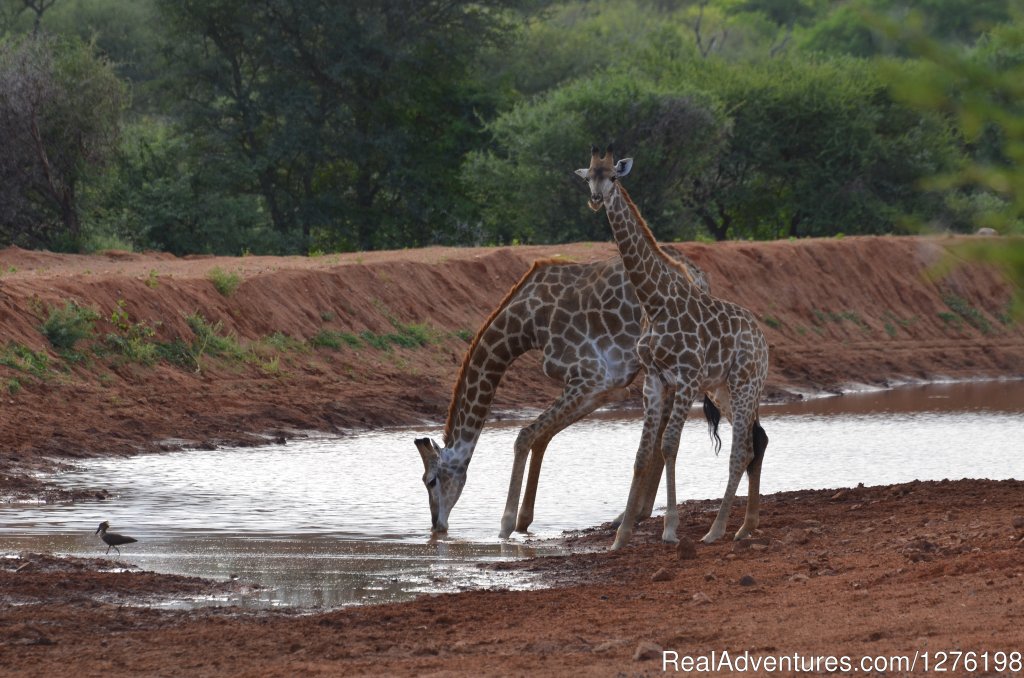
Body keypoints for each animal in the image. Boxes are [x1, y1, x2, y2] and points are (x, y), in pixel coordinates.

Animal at [413, 251, 712, 540]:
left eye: (430, 480)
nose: (437, 526)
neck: (526, 323)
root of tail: (698, 278)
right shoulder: (602, 387)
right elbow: (541, 437)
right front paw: (524, 520)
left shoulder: (593, 378)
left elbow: (525, 436)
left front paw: (506, 525)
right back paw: (636, 514)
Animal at [577, 146, 770, 548]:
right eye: (588, 177)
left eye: (613, 176)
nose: (597, 199)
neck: (653, 302)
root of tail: (762, 339)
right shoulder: (654, 380)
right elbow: (642, 453)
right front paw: (621, 536)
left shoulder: (686, 379)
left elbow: (668, 446)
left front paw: (669, 529)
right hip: (723, 387)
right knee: (753, 441)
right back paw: (746, 526)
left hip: (745, 383)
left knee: (740, 449)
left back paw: (716, 530)